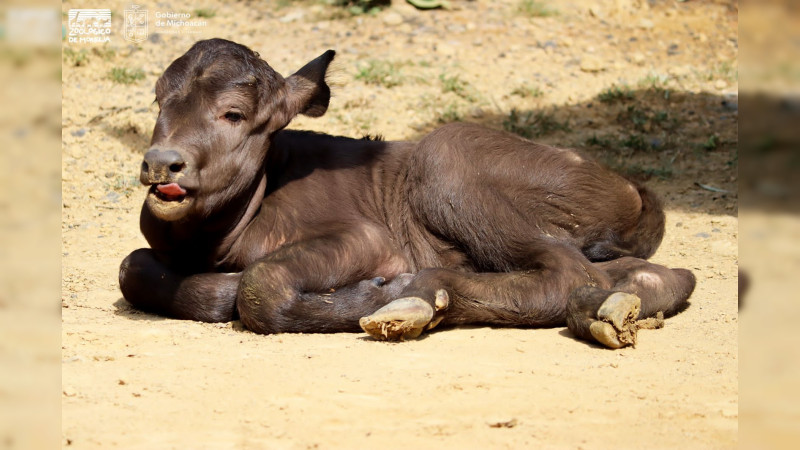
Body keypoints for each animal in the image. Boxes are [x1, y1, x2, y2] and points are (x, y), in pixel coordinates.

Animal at [117, 39, 692, 348]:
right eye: (159, 102)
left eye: (233, 114)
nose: (161, 162)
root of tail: (629, 186)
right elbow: (131, 269)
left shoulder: (370, 238)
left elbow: (258, 286)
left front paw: (373, 293)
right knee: (658, 274)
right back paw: (609, 312)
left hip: (448, 159)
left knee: (565, 273)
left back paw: (417, 296)